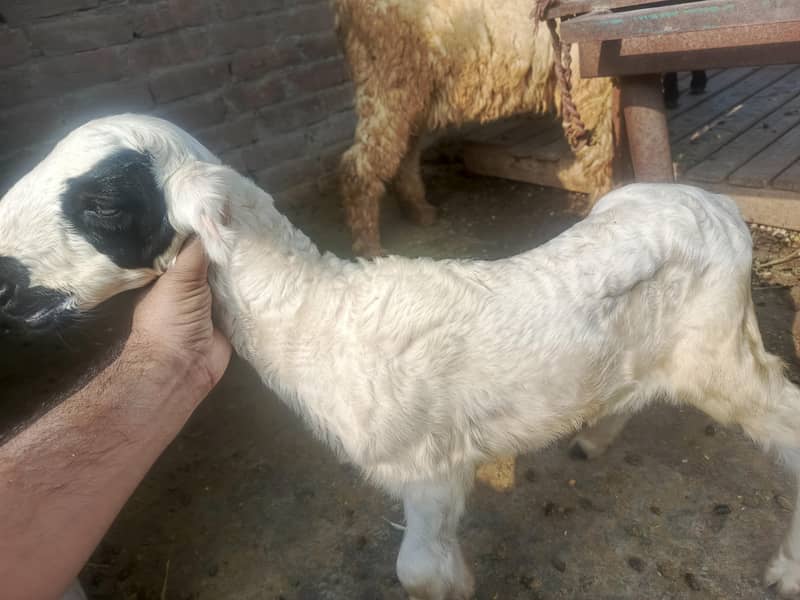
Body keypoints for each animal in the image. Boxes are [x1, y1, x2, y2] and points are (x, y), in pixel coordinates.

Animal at [2, 114, 800, 599]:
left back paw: (787, 568)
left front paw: (455, 585)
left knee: (787, 419)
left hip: (718, 349)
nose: (4, 283)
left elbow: (417, 569)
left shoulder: (430, 465)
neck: (315, 312)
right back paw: (594, 437)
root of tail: (717, 205)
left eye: (105, 203)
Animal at [331, 0, 615, 257]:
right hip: (388, 83)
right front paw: (608, 206)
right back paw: (369, 248)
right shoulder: (589, 78)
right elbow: (604, 156)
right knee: (359, 165)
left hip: (414, 92)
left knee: (405, 154)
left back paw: (419, 211)